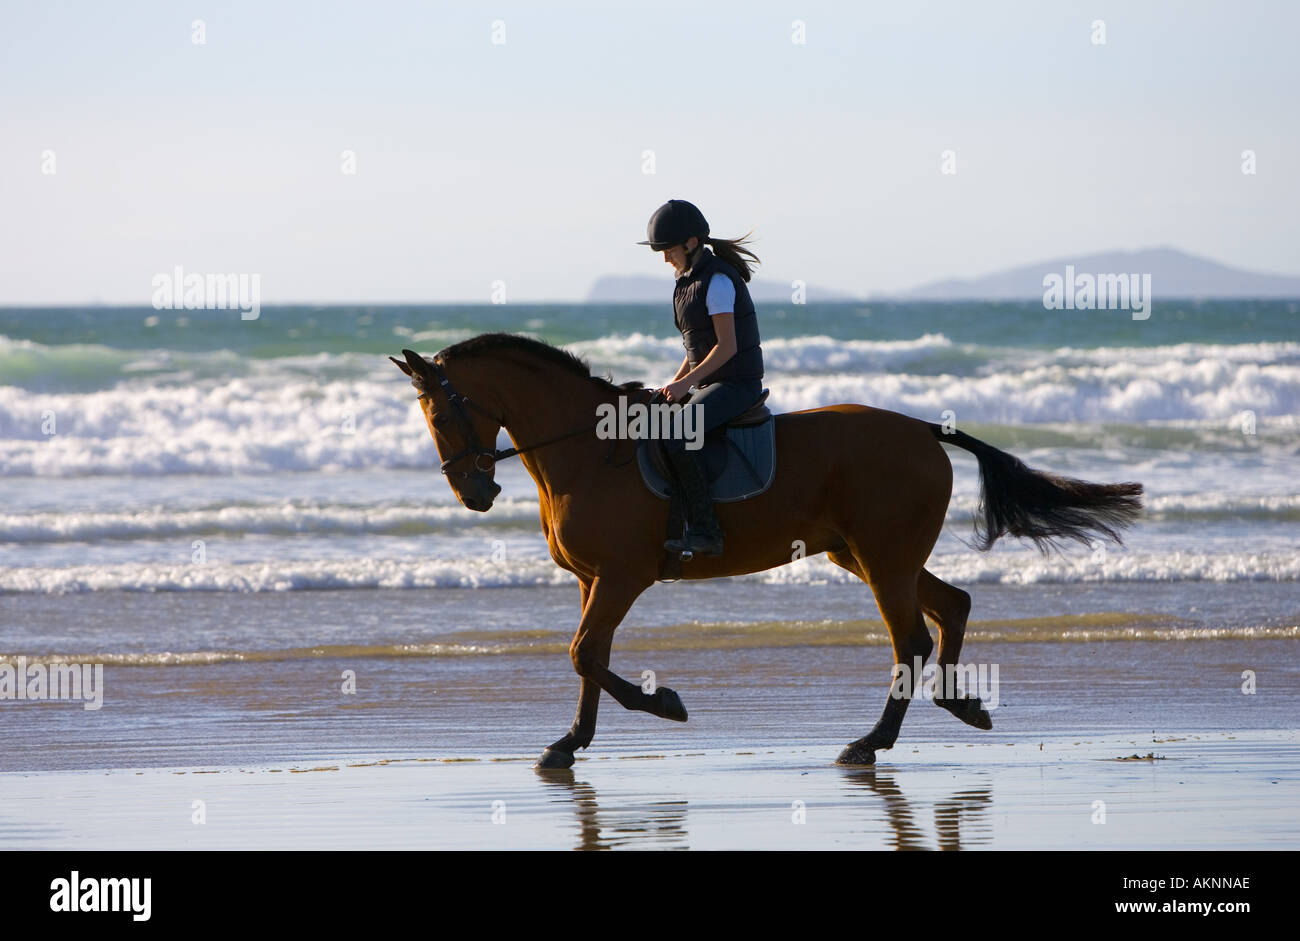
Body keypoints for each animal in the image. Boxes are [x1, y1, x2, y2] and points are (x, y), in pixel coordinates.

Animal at [390, 333, 1143, 769]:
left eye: (444, 410)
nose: (475, 491)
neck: (589, 451)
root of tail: (924, 429)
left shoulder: (624, 575)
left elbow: (585, 654)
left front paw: (666, 705)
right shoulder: (590, 579)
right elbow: (587, 660)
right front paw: (568, 744)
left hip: (881, 556)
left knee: (910, 638)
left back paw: (869, 743)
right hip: (865, 554)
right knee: (951, 605)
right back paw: (962, 706)